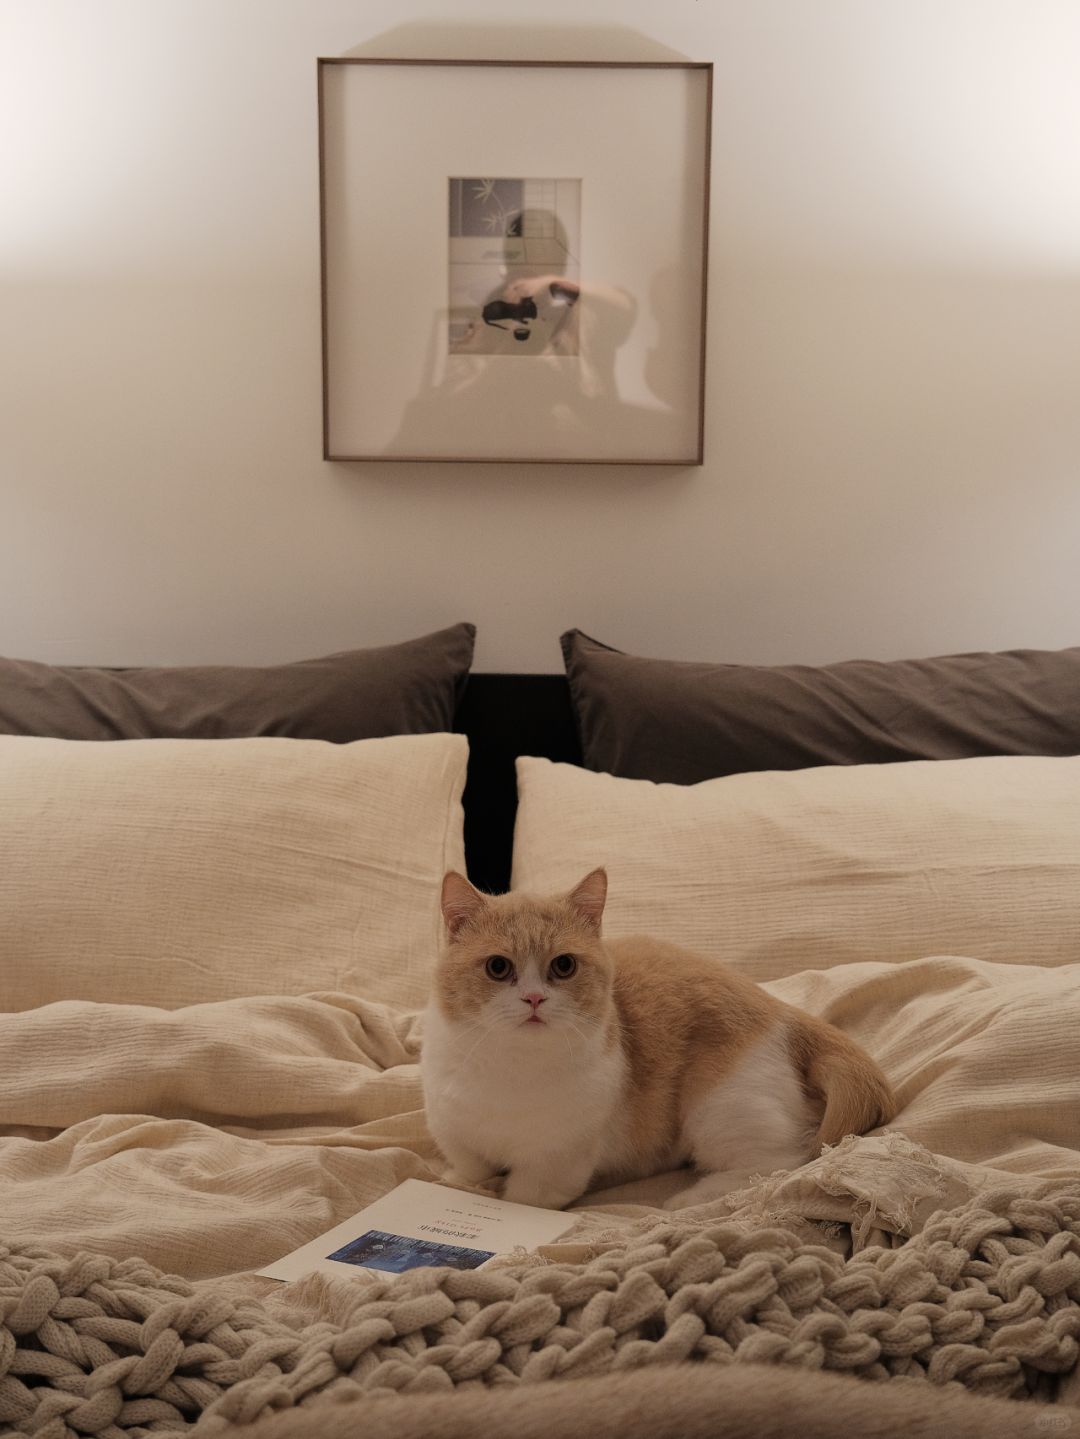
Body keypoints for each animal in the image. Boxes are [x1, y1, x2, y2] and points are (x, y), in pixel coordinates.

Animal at [420, 867, 895, 1211]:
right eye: (498, 967)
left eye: (564, 966)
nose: (534, 998)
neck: (509, 1068)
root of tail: (783, 1010)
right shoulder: (456, 1136)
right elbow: (469, 1170)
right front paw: (459, 1183)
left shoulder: (554, 1166)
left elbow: (522, 1198)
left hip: (719, 1110)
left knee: (777, 1164)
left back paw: (691, 1197)